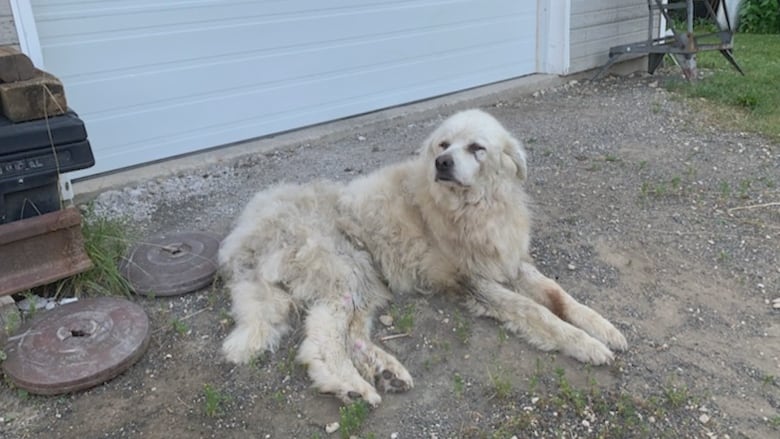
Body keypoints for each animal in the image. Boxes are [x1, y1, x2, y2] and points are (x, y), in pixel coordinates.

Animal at [219, 108, 628, 408]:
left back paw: (386, 371)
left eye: (476, 147)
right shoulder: (474, 281)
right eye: (443, 144)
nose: (442, 162)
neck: (476, 208)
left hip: (367, 280)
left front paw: (604, 329)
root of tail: (246, 230)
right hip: (345, 270)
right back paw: (351, 386)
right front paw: (585, 345)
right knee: (322, 340)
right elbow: (537, 312)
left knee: (350, 334)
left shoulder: (510, 263)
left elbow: (560, 296)